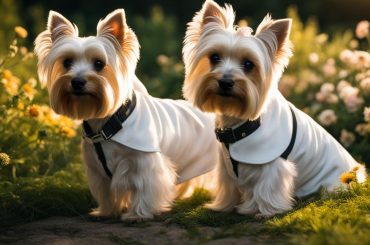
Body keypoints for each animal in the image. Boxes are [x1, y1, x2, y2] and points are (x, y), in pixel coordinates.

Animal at [34, 9, 220, 222]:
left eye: (99, 63)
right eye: (67, 62)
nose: (78, 82)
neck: (108, 123)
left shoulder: (145, 164)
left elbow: (143, 188)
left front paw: (137, 214)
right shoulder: (97, 169)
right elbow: (106, 192)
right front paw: (106, 212)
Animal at [182, 0, 368, 217]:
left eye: (248, 64)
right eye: (214, 57)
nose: (225, 82)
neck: (239, 121)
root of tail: (359, 175)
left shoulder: (271, 164)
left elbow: (267, 186)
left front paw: (265, 211)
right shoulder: (226, 165)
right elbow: (228, 186)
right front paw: (223, 206)